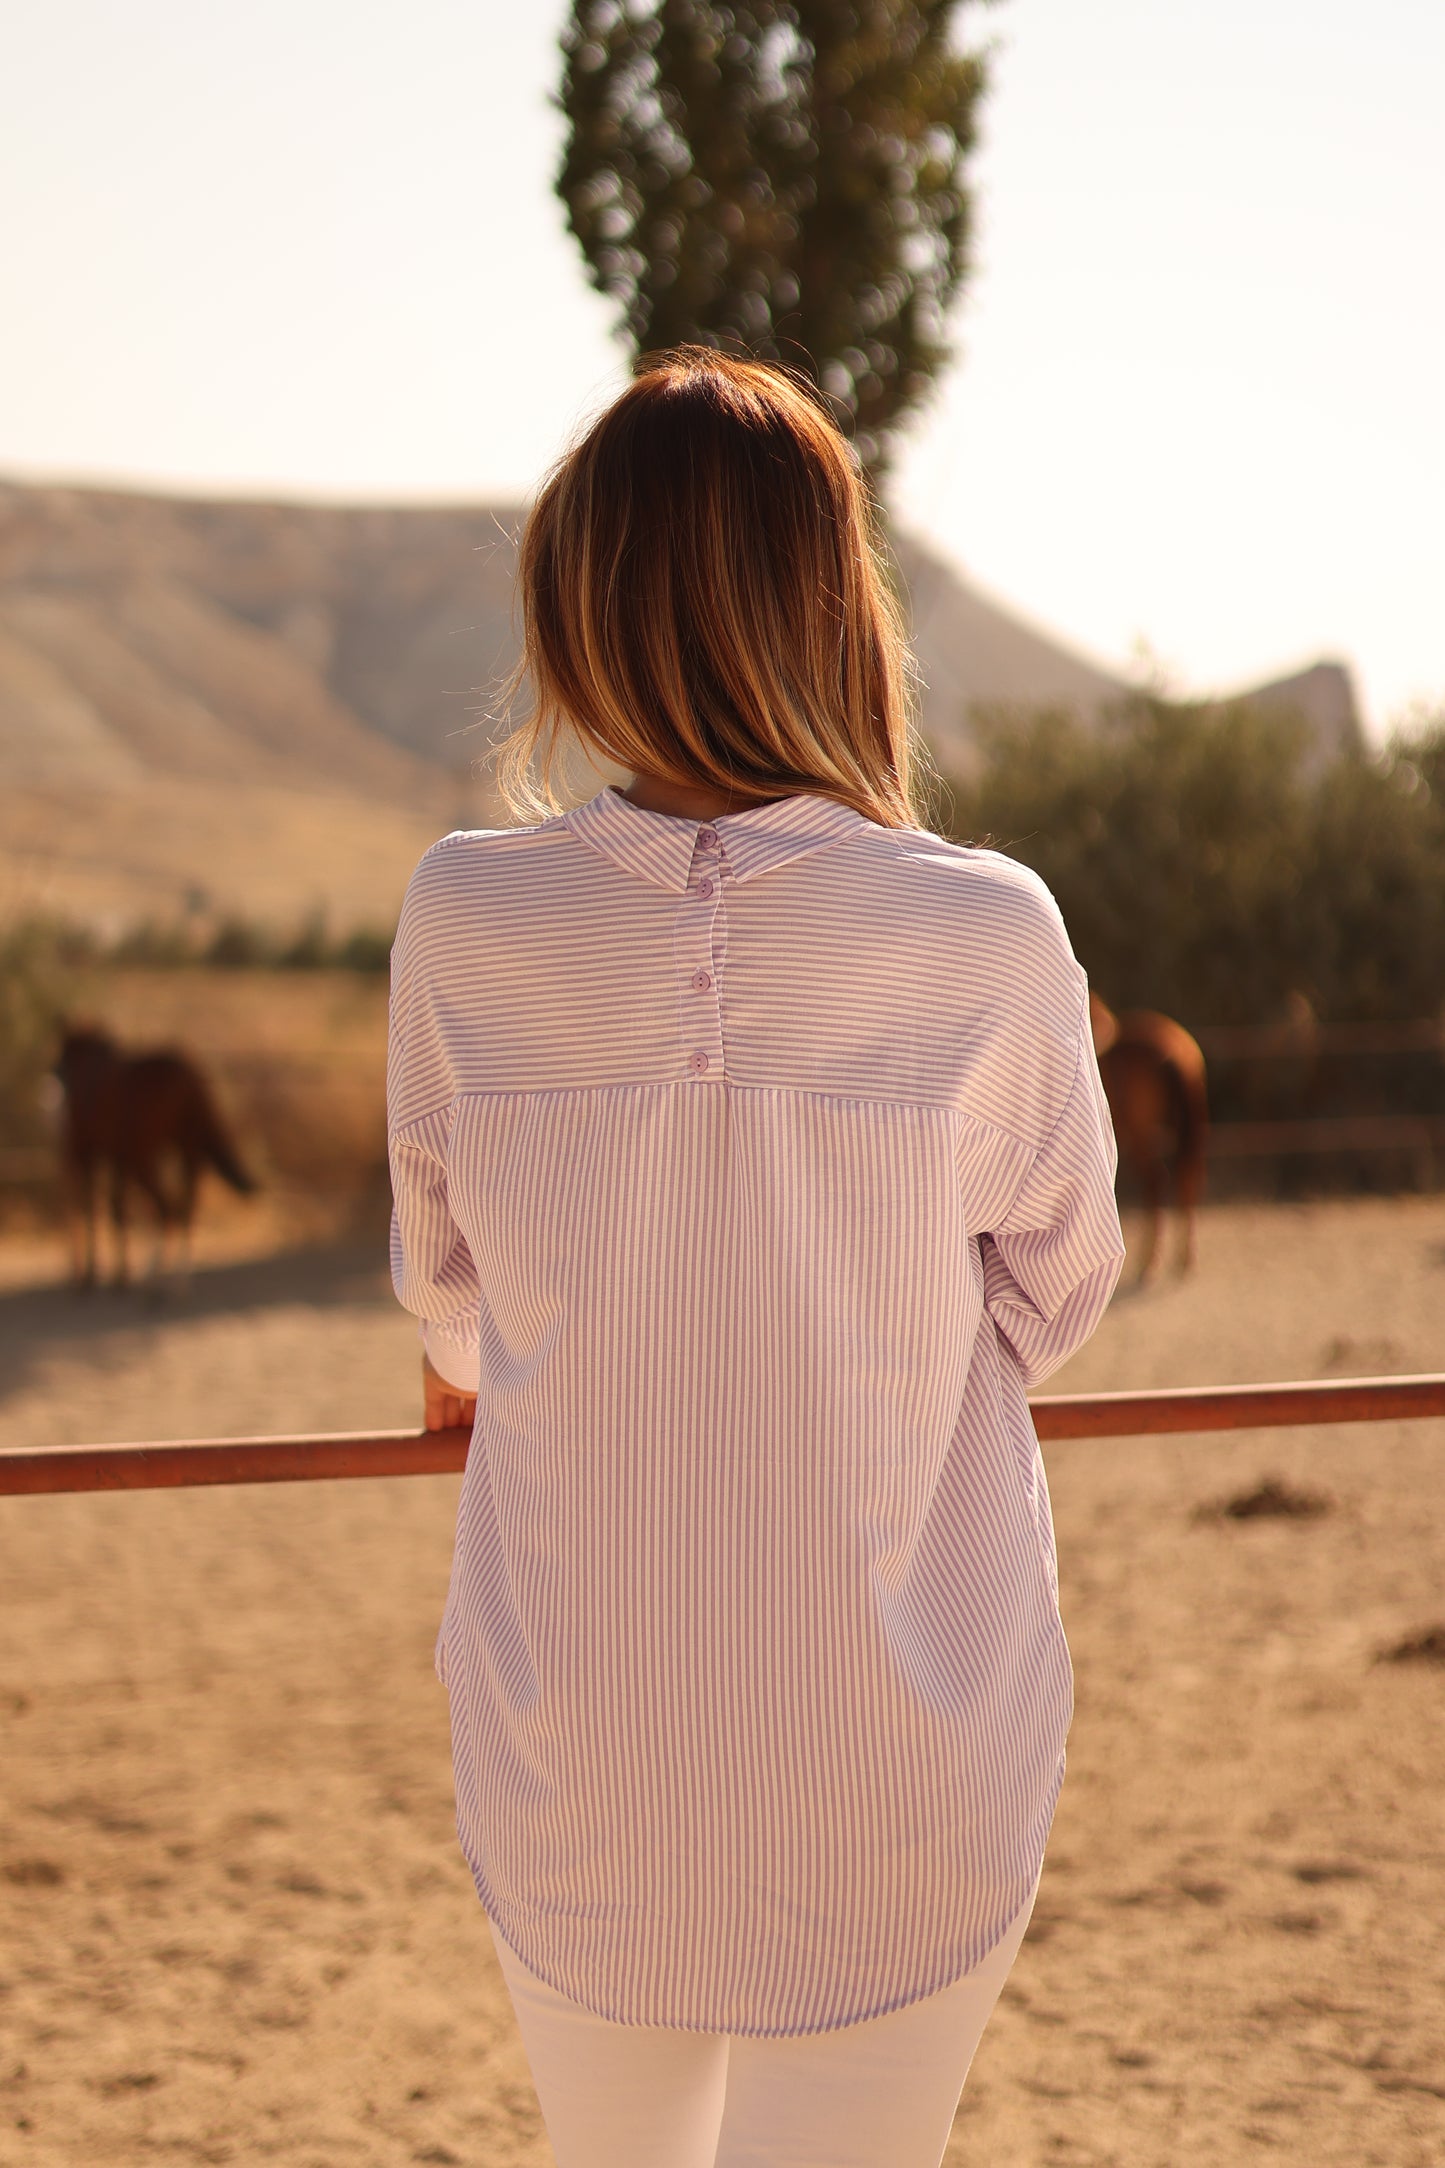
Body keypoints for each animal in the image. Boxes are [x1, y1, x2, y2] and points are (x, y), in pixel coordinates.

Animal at [52, 1018, 256, 1283]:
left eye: (62, 1055)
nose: (53, 1073)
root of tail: (188, 1077)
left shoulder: (88, 1154)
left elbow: (94, 1209)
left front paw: (94, 1276)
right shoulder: (117, 1160)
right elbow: (116, 1209)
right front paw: (119, 1275)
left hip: (145, 1158)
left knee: (166, 1209)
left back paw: (155, 1282)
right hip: (187, 1153)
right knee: (184, 1211)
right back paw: (175, 1282)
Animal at [1091, 992, 1213, 1274]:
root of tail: (1177, 1051)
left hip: (1141, 1133)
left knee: (1156, 1180)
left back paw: (1150, 1260)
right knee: (1187, 1177)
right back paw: (1183, 1255)